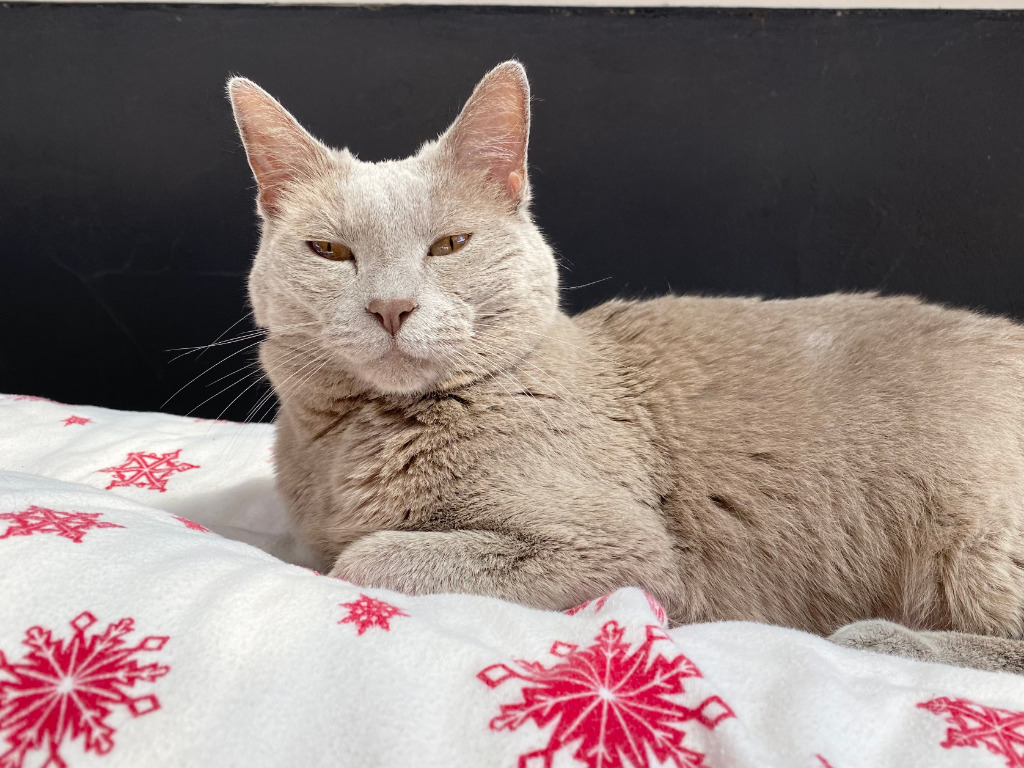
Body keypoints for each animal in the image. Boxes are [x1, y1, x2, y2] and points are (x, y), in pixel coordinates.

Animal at [230, 63, 1024, 671]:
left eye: (450, 245)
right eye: (331, 252)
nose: (391, 307)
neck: (354, 440)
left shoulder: (616, 548)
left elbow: (365, 559)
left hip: (979, 529)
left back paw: (882, 640)